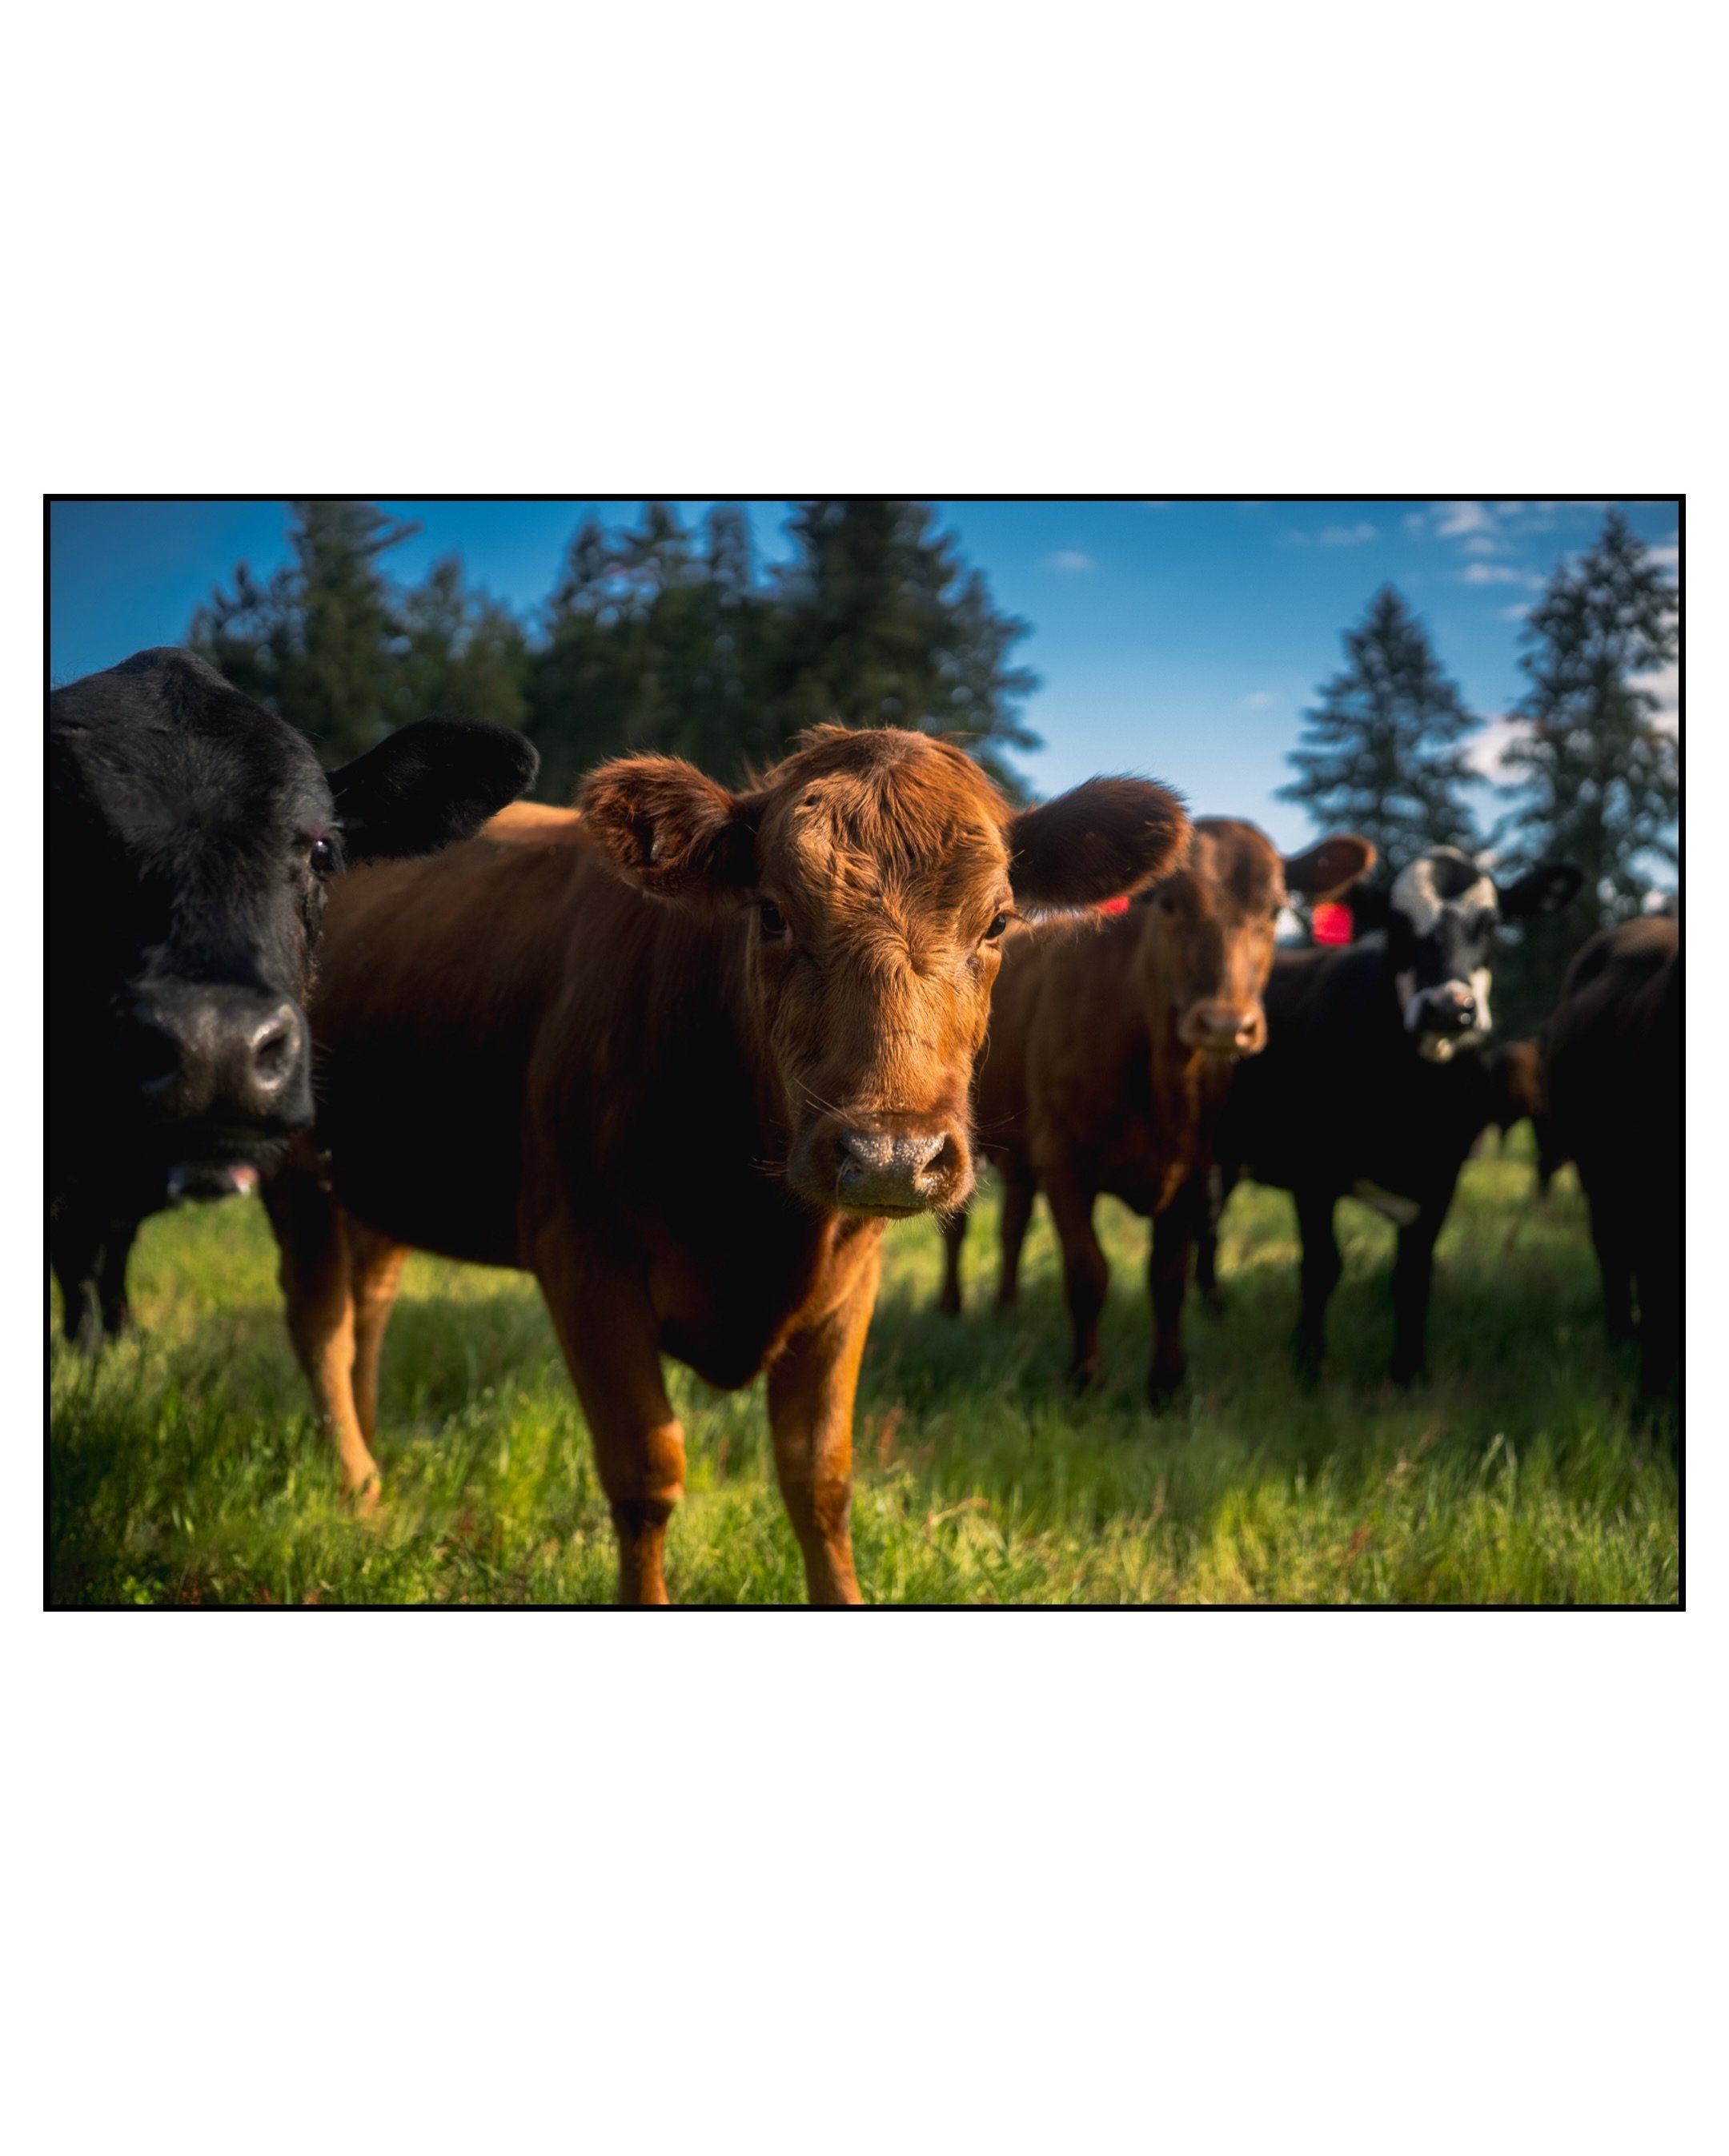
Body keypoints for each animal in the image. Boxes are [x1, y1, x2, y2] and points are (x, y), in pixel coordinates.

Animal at [260, 726, 1190, 1604]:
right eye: (772, 912)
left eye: (996, 922)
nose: (892, 1156)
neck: (754, 1222)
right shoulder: (583, 1260)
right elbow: (646, 1471)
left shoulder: (849, 1276)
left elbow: (820, 1473)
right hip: (291, 1164)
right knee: (321, 1320)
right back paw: (356, 1481)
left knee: (371, 1298)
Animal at [936, 820, 1375, 1401]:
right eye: (1169, 903)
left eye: (1275, 908)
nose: (1226, 1024)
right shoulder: (1065, 1163)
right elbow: (1088, 1274)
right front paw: (1085, 1377)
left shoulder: (1194, 1171)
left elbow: (1168, 1280)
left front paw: (1167, 1386)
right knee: (959, 1227)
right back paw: (951, 1307)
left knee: (1012, 1225)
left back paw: (1008, 1311)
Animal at [1207, 845, 1582, 1385]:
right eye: (1398, 924)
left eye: (1491, 925)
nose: (1448, 1007)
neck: (1410, 1101)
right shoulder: (1313, 1174)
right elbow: (1321, 1266)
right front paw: (1308, 1362)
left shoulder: (1443, 1178)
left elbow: (1412, 1275)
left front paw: (1409, 1372)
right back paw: (1214, 1308)